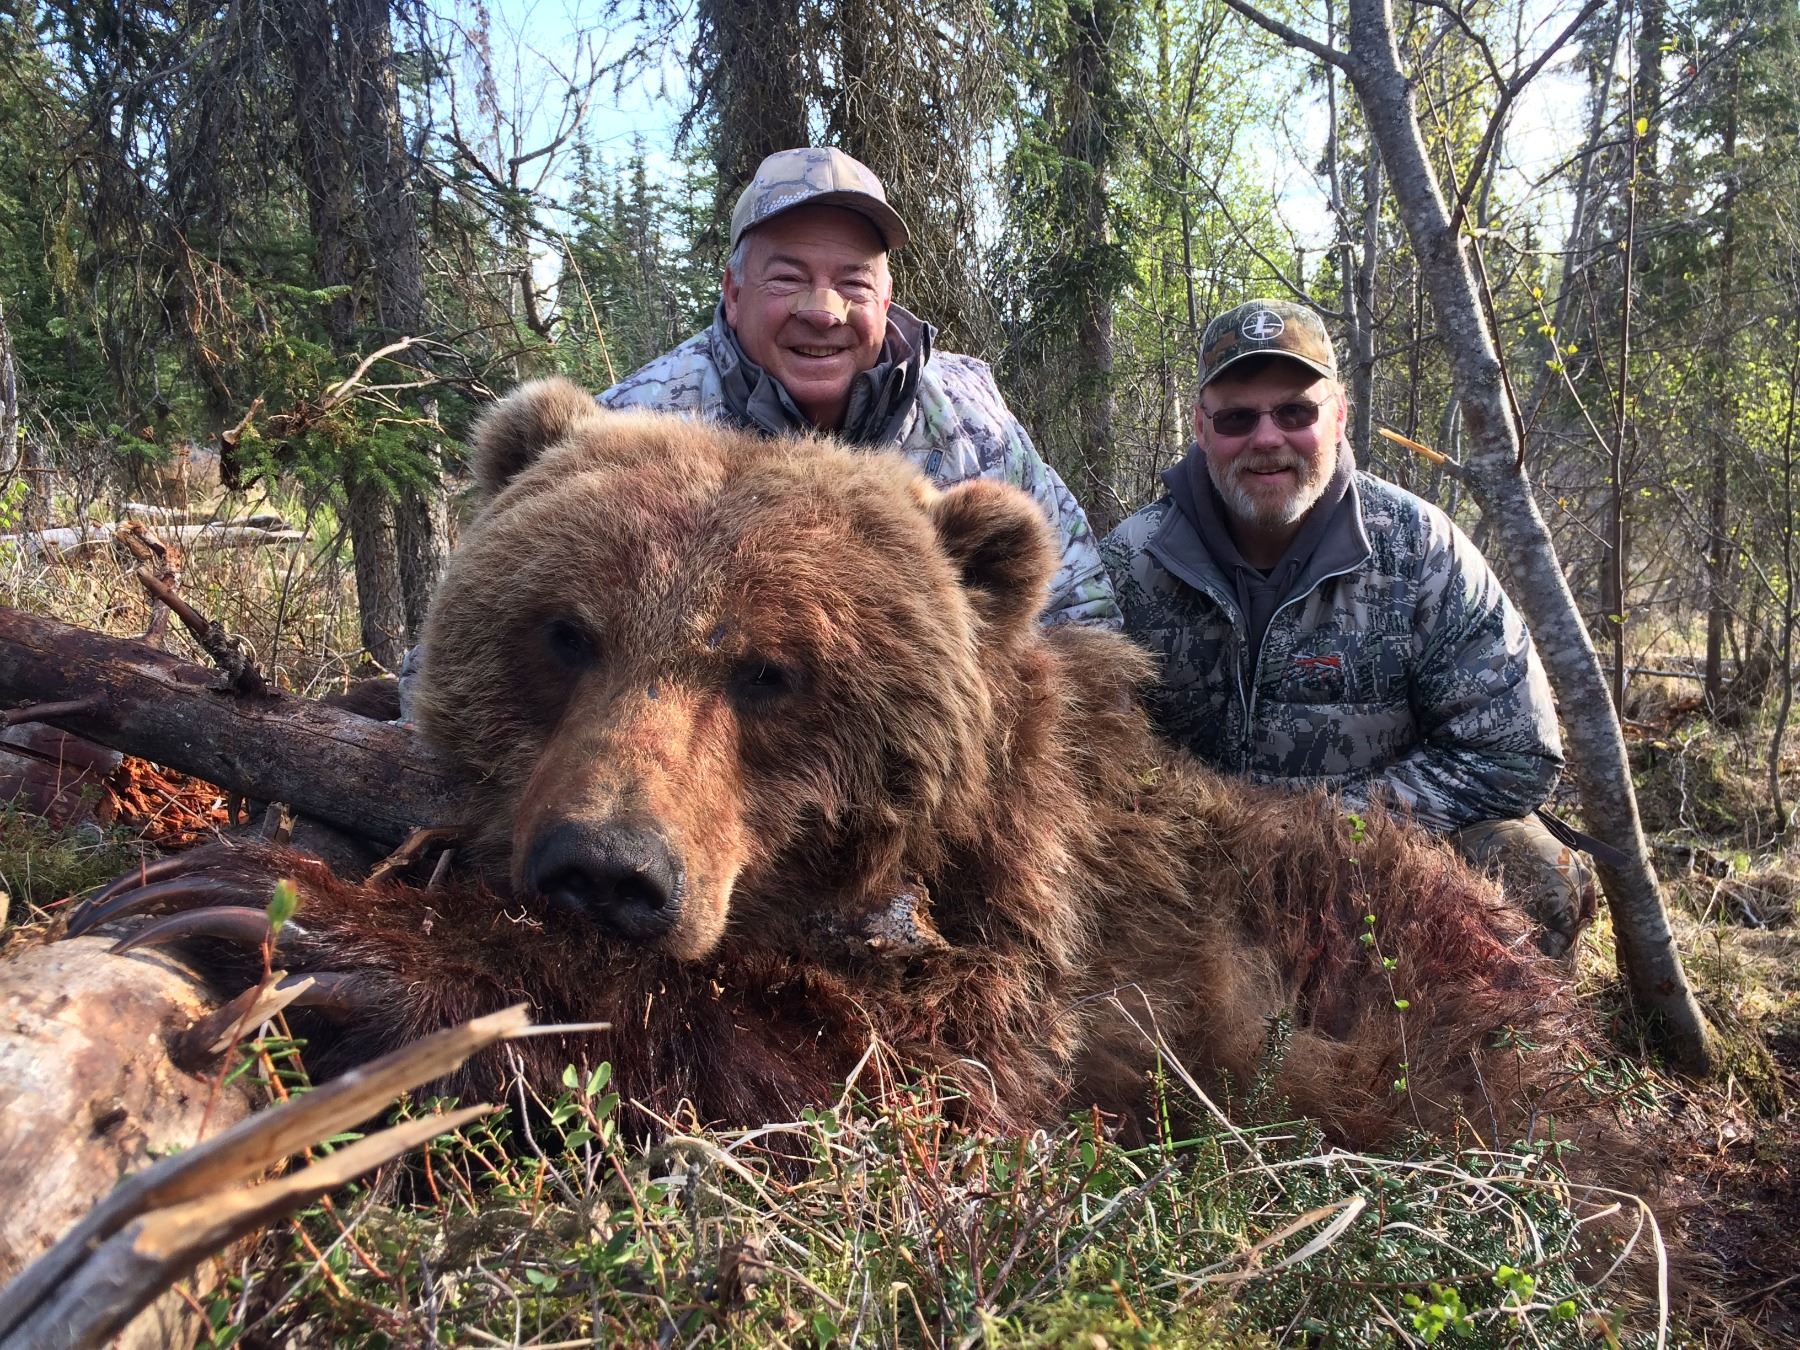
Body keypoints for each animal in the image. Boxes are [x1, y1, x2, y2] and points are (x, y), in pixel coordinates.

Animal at [68, 377, 1584, 1152]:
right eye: (565, 632)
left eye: (770, 670)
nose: (605, 869)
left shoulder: (1039, 929)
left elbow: (895, 1069)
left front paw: (301, 926)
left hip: (1377, 944)